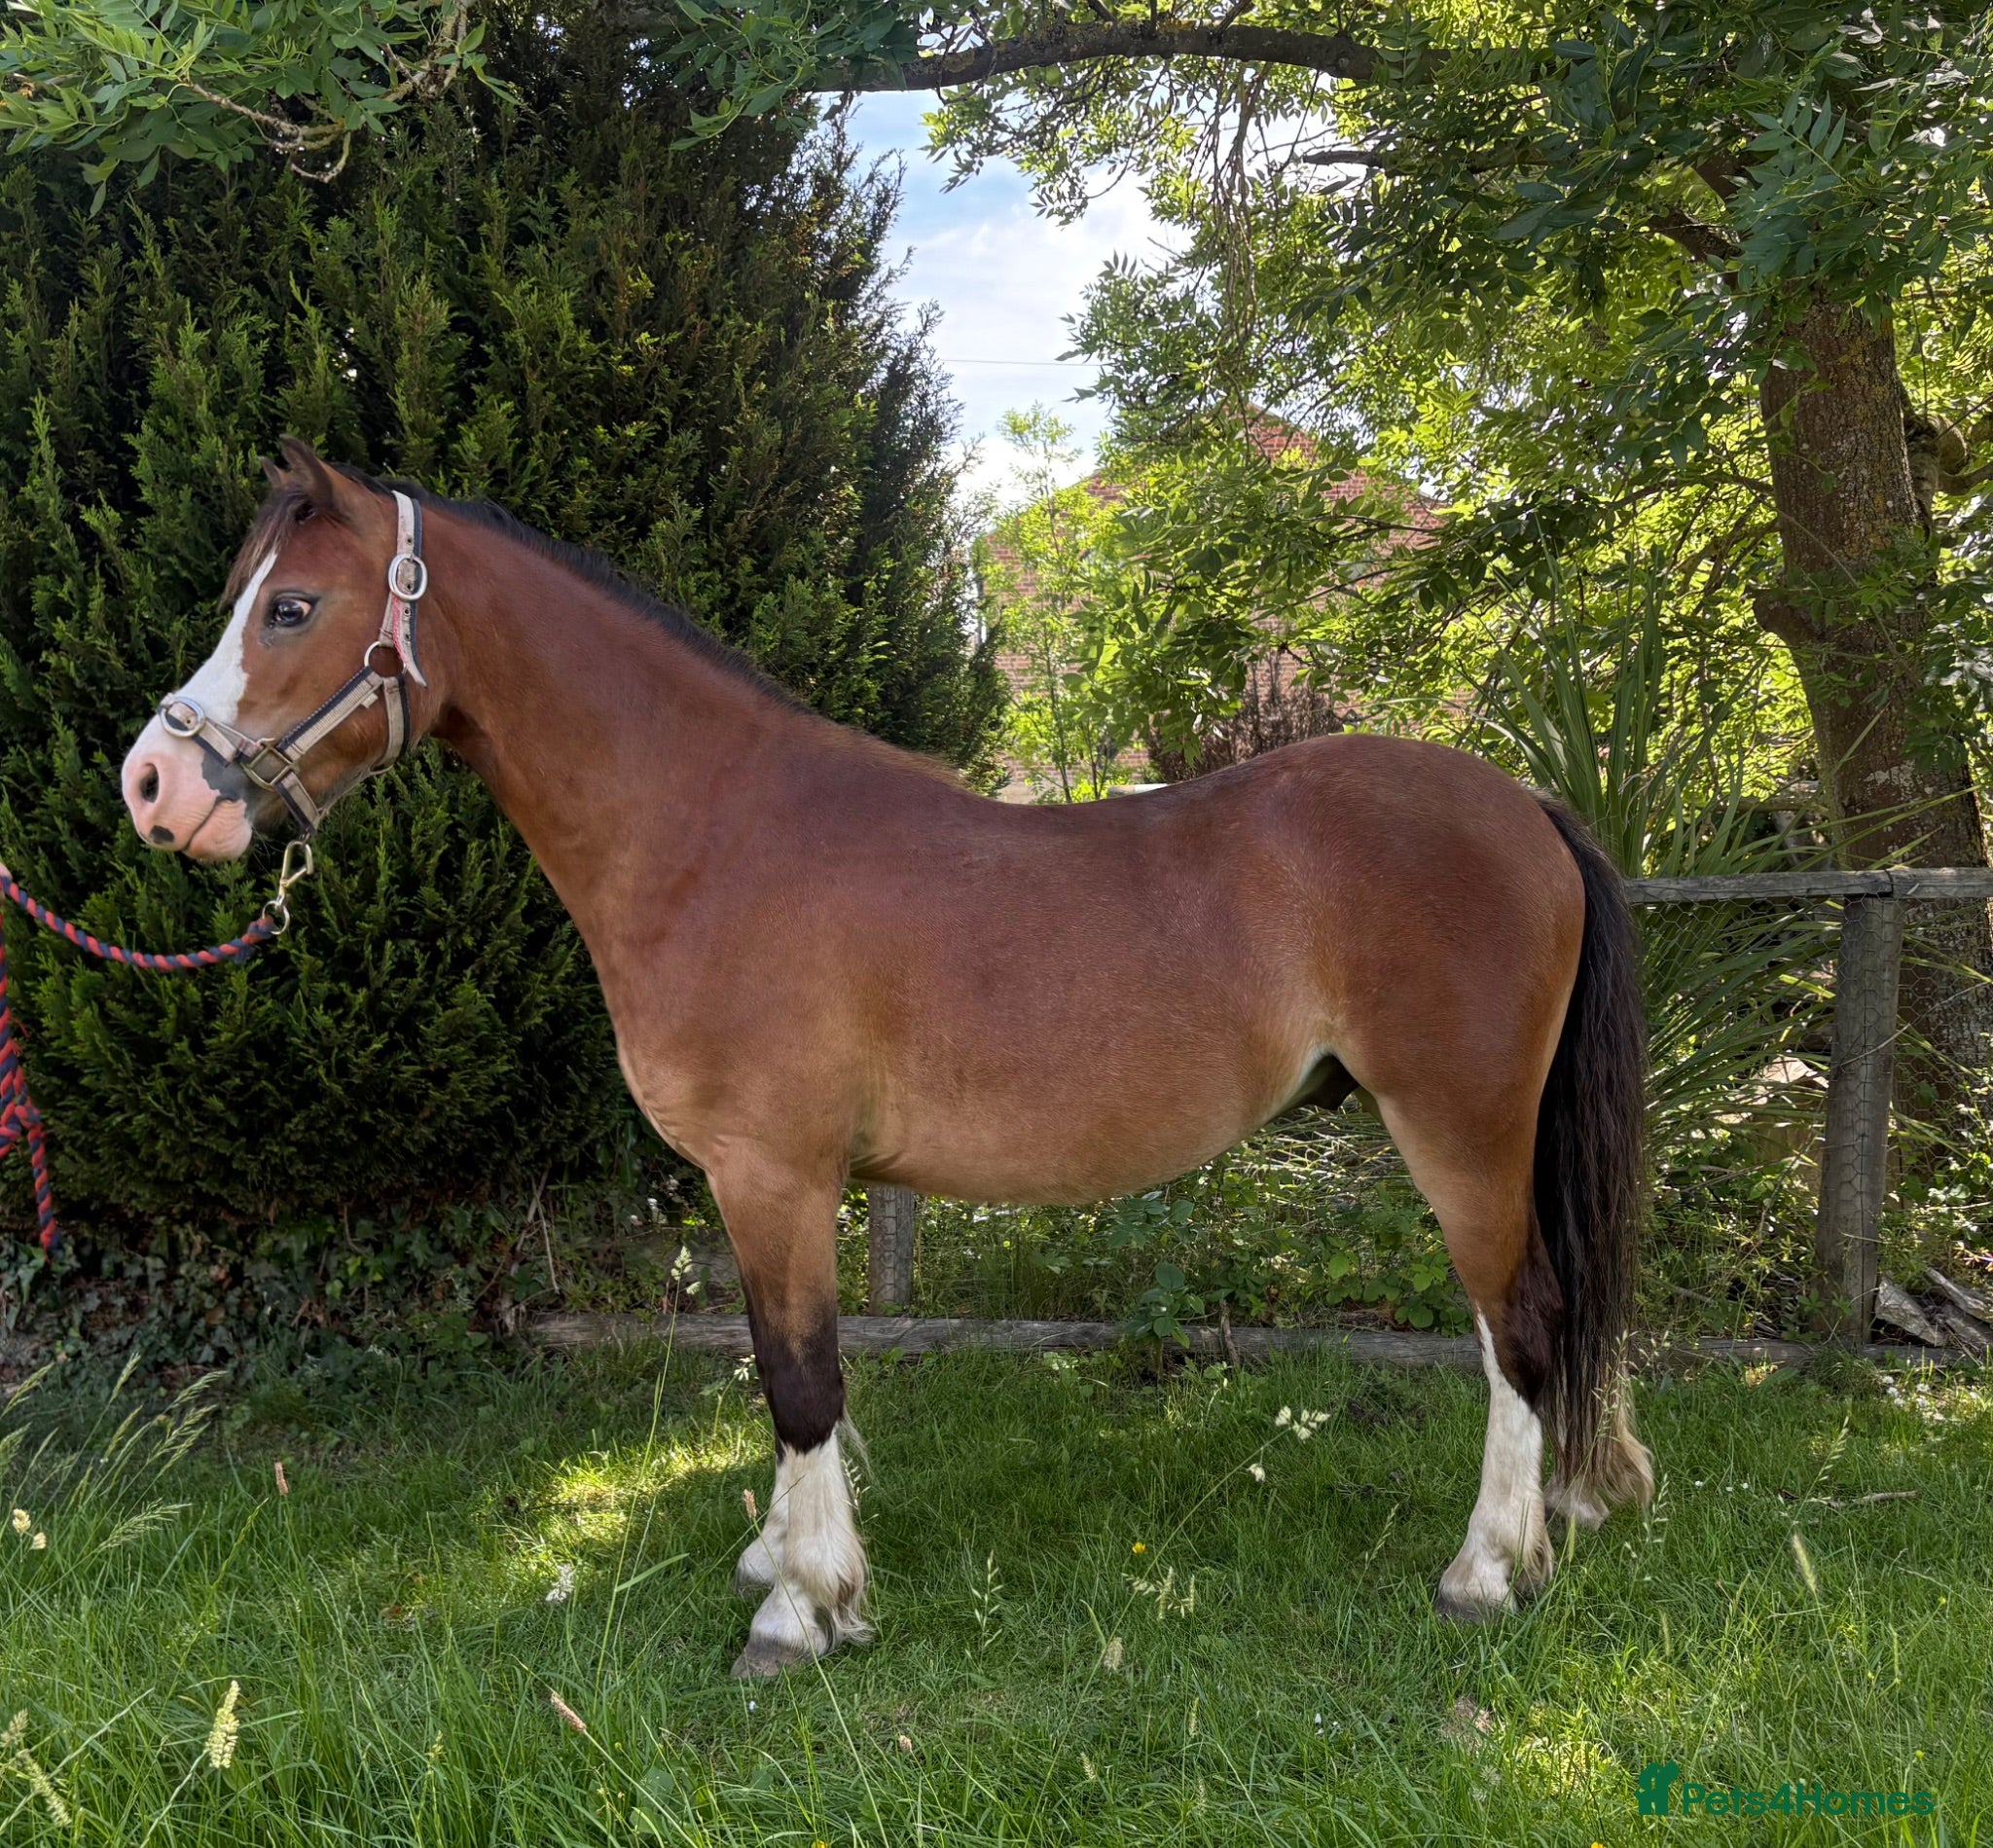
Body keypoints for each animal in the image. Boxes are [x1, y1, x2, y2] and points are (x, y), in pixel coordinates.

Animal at [122, 438, 1654, 1676]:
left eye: (293, 606)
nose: (154, 785)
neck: (711, 833)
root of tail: (1523, 805)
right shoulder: (772, 1186)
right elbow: (784, 1373)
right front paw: (777, 1554)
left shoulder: (772, 1174)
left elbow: (800, 1379)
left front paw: (801, 1609)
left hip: (1458, 1126)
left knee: (1520, 1321)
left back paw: (1486, 1570)